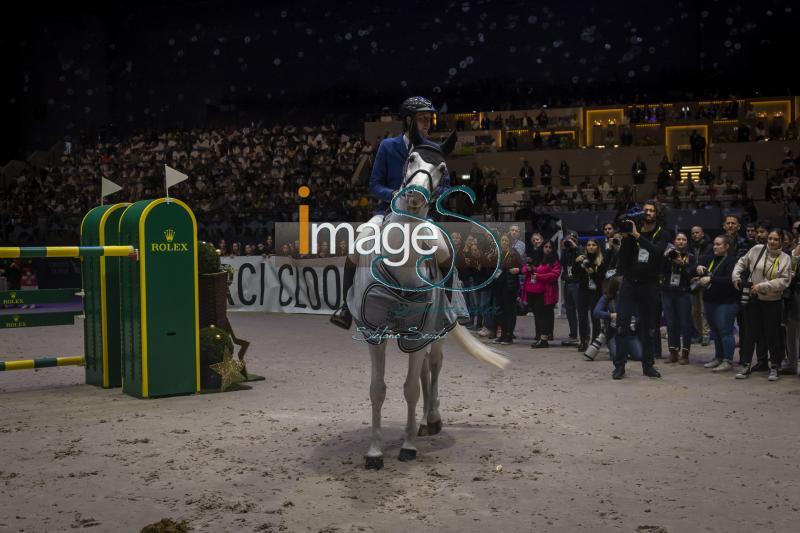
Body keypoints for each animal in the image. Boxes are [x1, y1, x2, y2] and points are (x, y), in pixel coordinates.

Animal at [342, 127, 506, 468]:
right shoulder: (374, 332)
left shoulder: (420, 331)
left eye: (442, 168)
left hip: (437, 327)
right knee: (424, 371)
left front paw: (408, 447)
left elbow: (410, 390)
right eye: (411, 158)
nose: (416, 195)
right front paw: (374, 452)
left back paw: (432, 418)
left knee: (434, 365)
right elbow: (378, 390)